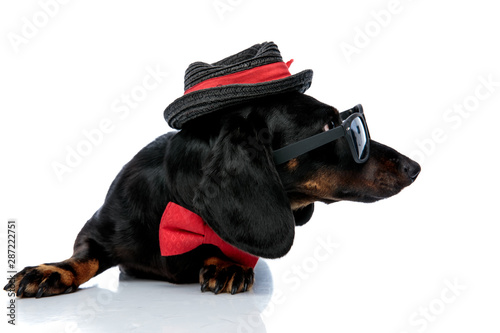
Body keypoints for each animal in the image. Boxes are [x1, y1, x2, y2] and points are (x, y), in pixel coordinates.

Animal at [4, 91, 422, 296]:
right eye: (330, 124)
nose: (414, 167)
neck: (178, 210)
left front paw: (224, 264)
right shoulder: (99, 228)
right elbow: (84, 256)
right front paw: (52, 270)